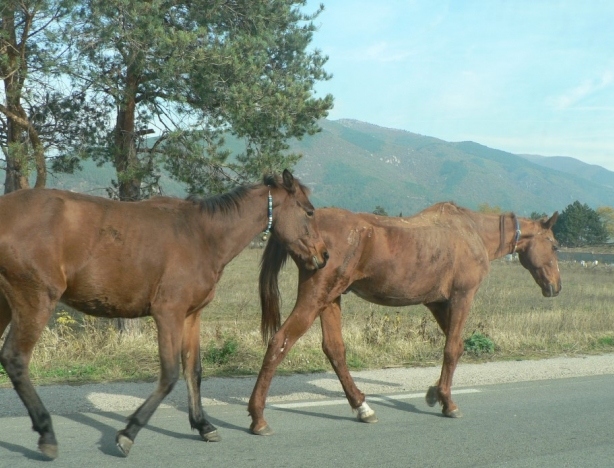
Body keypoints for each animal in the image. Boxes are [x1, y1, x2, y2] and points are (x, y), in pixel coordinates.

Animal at [0, 170, 330, 458]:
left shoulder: (191, 315)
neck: (202, 235)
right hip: (35, 300)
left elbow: (193, 370)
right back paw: (47, 433)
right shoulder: (168, 313)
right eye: (309, 211)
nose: (324, 255)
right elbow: (170, 374)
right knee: (15, 358)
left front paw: (203, 425)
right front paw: (128, 433)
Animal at [250, 201, 564, 436]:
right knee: (280, 342)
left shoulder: (436, 302)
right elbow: (452, 349)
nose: (556, 286)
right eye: (555, 245)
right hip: (316, 297)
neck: (471, 232)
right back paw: (258, 417)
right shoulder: (461, 297)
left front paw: (435, 392)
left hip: (329, 299)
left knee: (335, 350)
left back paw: (362, 407)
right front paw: (447, 402)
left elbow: (456, 345)